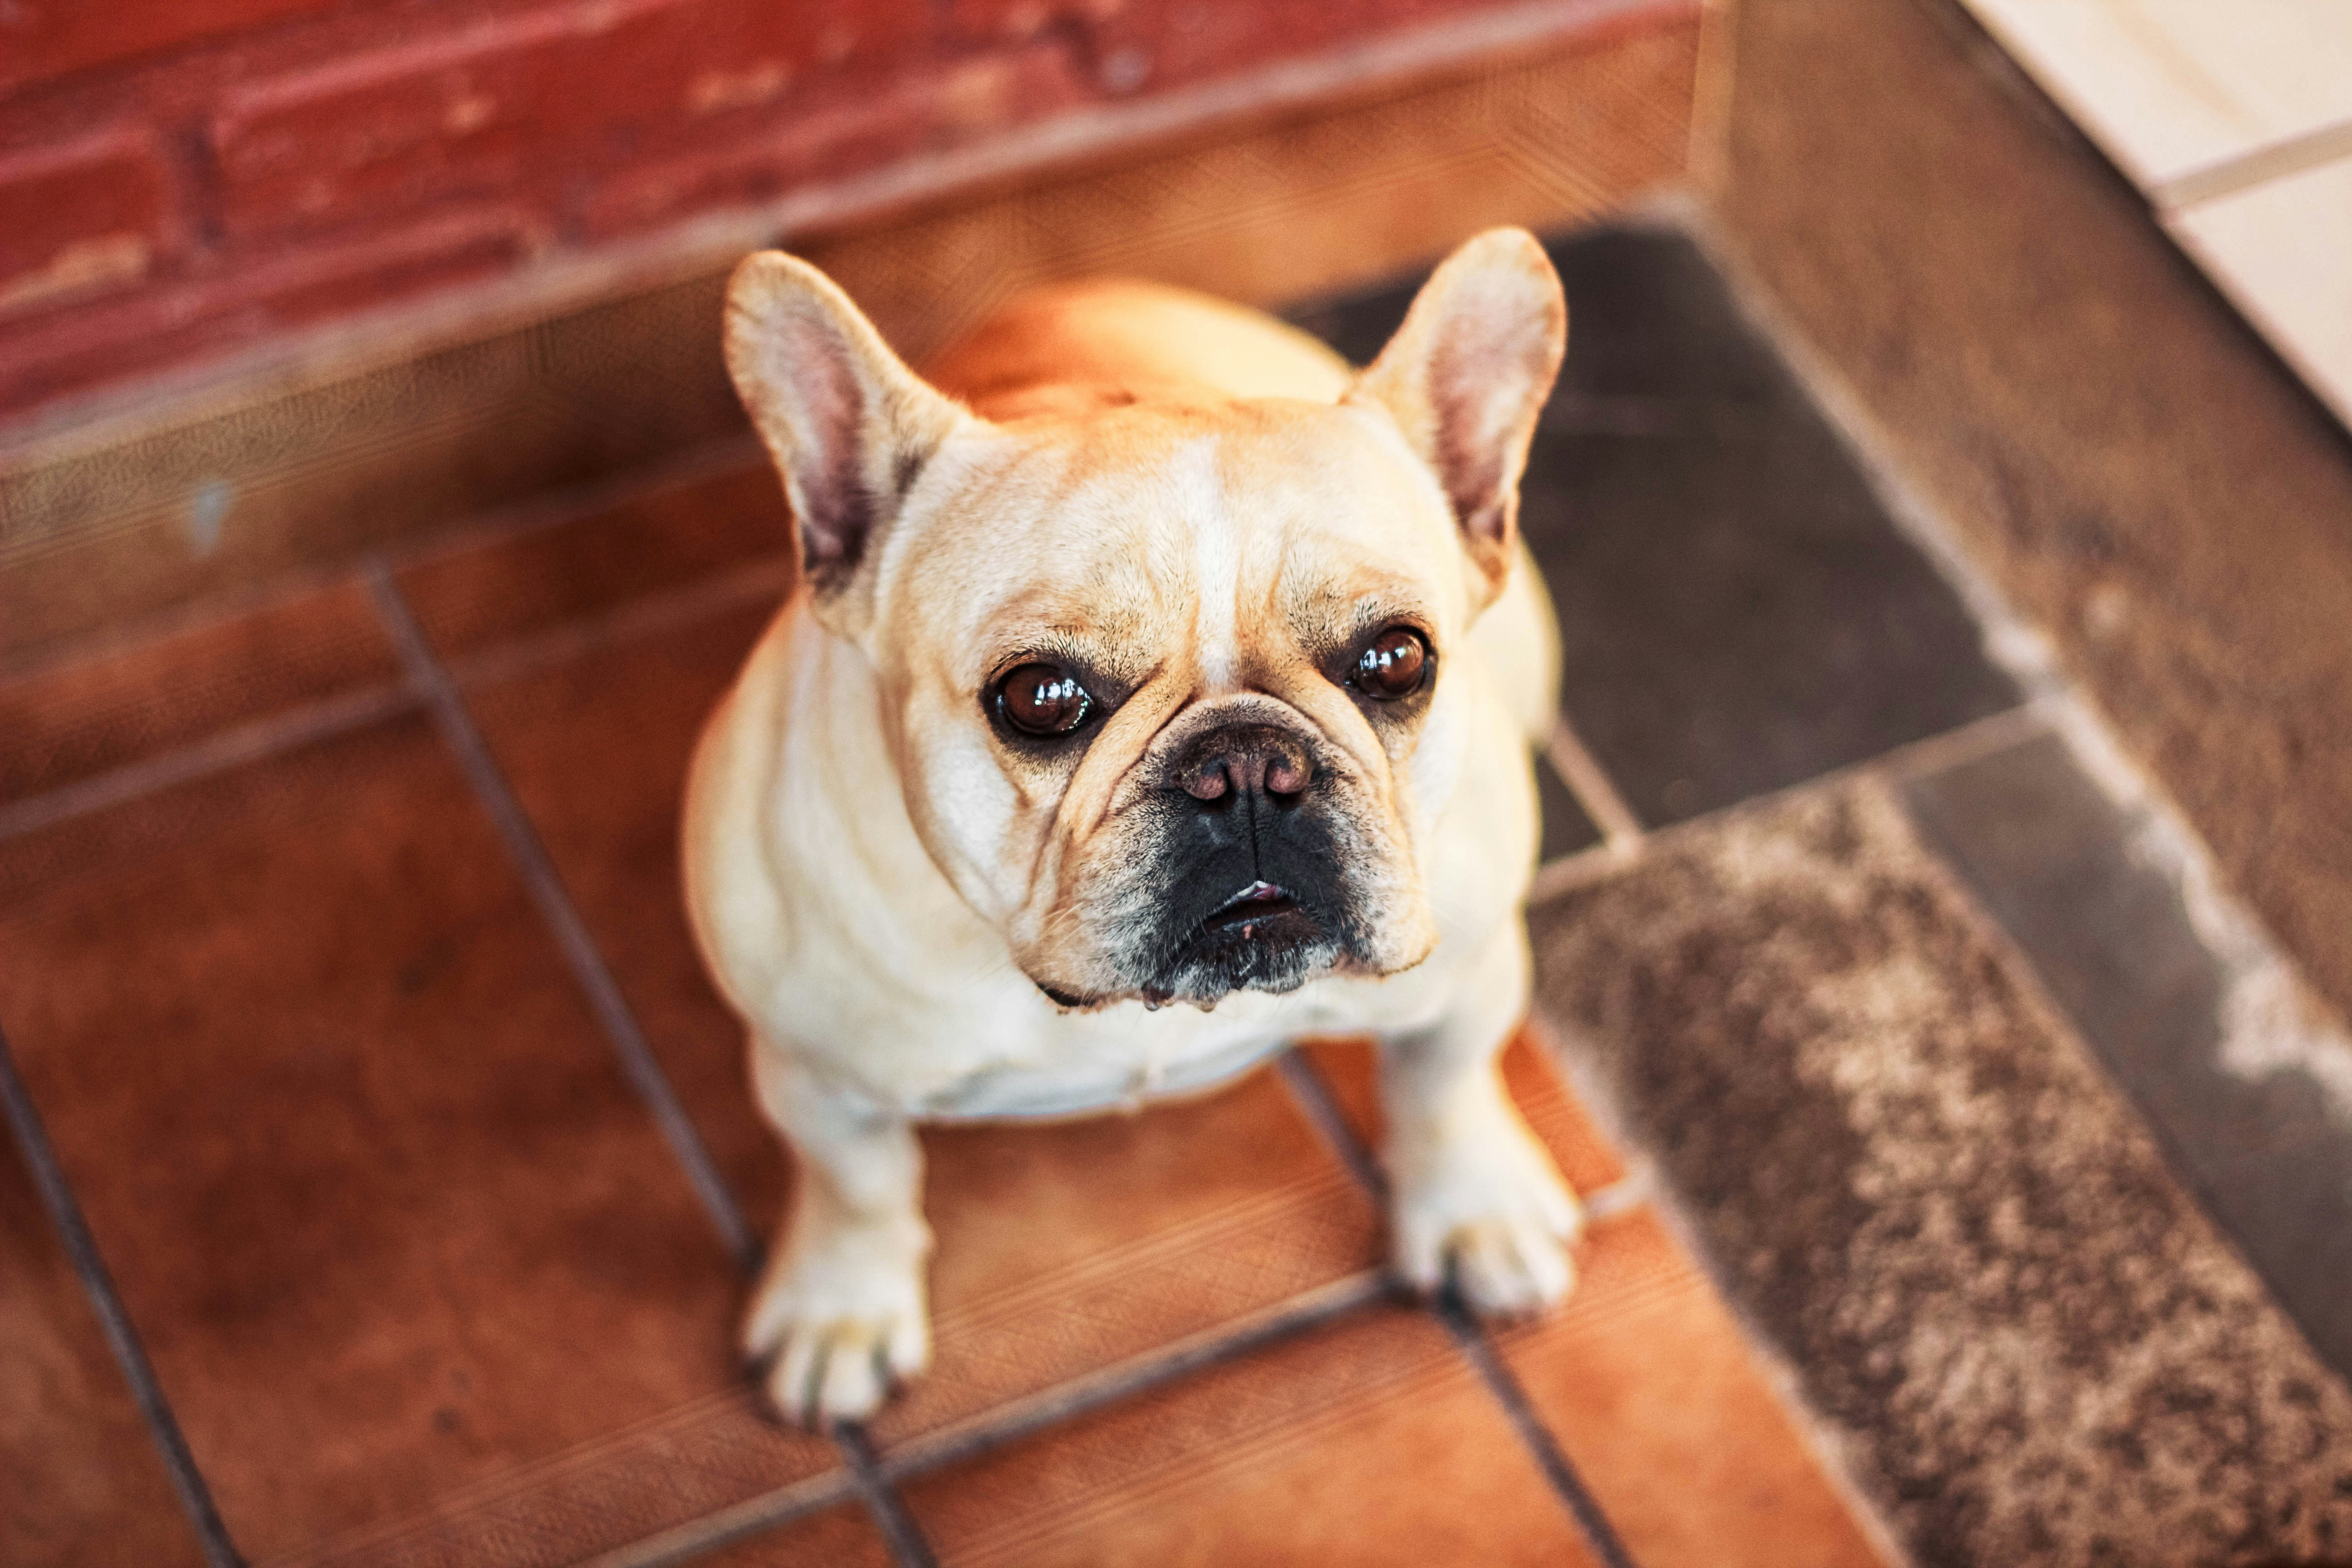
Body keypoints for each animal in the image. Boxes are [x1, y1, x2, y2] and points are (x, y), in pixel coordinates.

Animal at [682, 227, 1580, 1429]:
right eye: (1040, 697)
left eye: (1397, 659)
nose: (1247, 766)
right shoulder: (816, 1078)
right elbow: (856, 1189)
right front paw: (842, 1309)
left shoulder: (1471, 975)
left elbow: (1444, 1089)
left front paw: (1477, 1208)